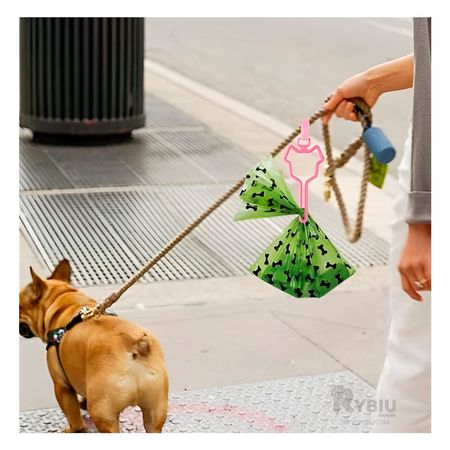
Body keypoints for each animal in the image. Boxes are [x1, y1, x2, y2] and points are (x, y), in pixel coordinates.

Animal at [18, 260, 169, 432]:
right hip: (155, 411)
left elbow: (73, 416)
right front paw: (83, 403)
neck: (64, 303)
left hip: (103, 414)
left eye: (19, 306)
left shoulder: (61, 386)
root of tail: (136, 345)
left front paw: (73, 429)